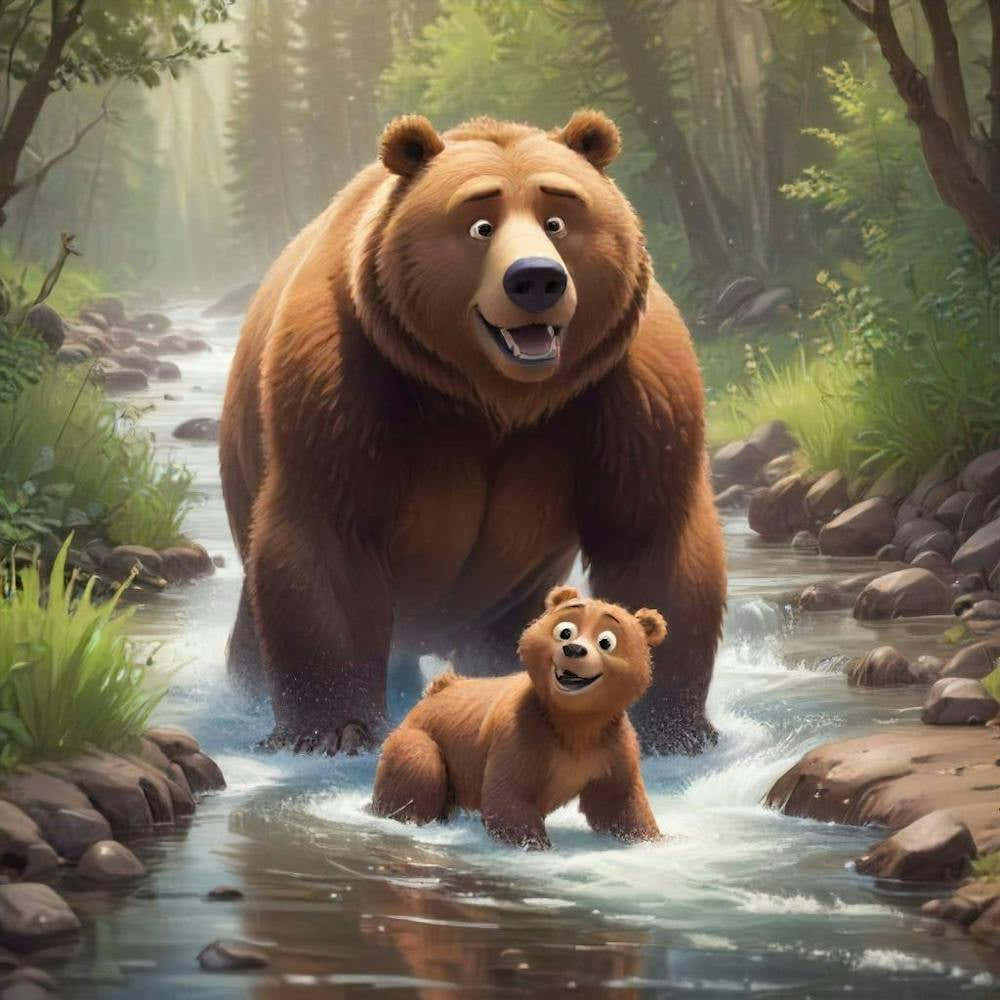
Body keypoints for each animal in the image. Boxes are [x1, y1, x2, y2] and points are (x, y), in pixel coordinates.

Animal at [219, 109, 726, 757]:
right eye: (480, 224)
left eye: (558, 219)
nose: (535, 279)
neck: (496, 398)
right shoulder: (344, 381)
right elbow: (328, 532)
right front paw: (333, 729)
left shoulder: (631, 389)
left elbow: (651, 536)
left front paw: (670, 727)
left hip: (508, 597)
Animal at [370, 586, 664, 849]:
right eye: (565, 630)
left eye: (606, 641)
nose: (574, 650)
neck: (574, 721)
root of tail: (434, 691)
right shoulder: (524, 732)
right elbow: (509, 792)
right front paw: (534, 843)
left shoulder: (609, 743)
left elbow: (618, 803)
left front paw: (651, 839)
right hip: (426, 738)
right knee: (420, 767)